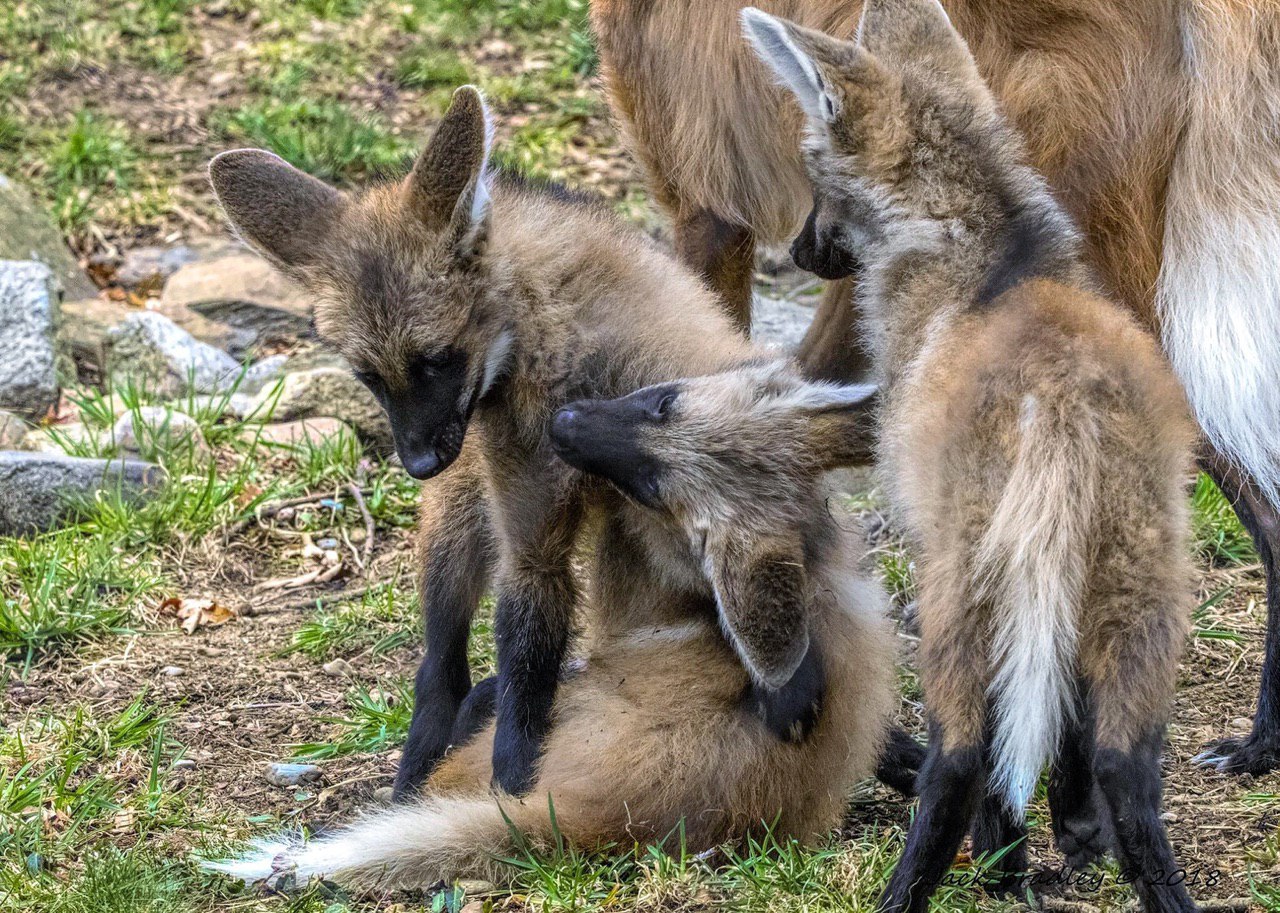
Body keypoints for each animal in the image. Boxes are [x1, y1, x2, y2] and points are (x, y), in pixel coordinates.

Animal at [744, 2, 1200, 910]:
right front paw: (1066, 831)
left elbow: (998, 743)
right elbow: (1063, 713)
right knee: (1129, 767)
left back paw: (915, 888)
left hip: (962, 579)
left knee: (958, 754)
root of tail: (1061, 399)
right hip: (1140, 574)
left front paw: (1006, 858)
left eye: (815, 176)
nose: (800, 251)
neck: (987, 242)